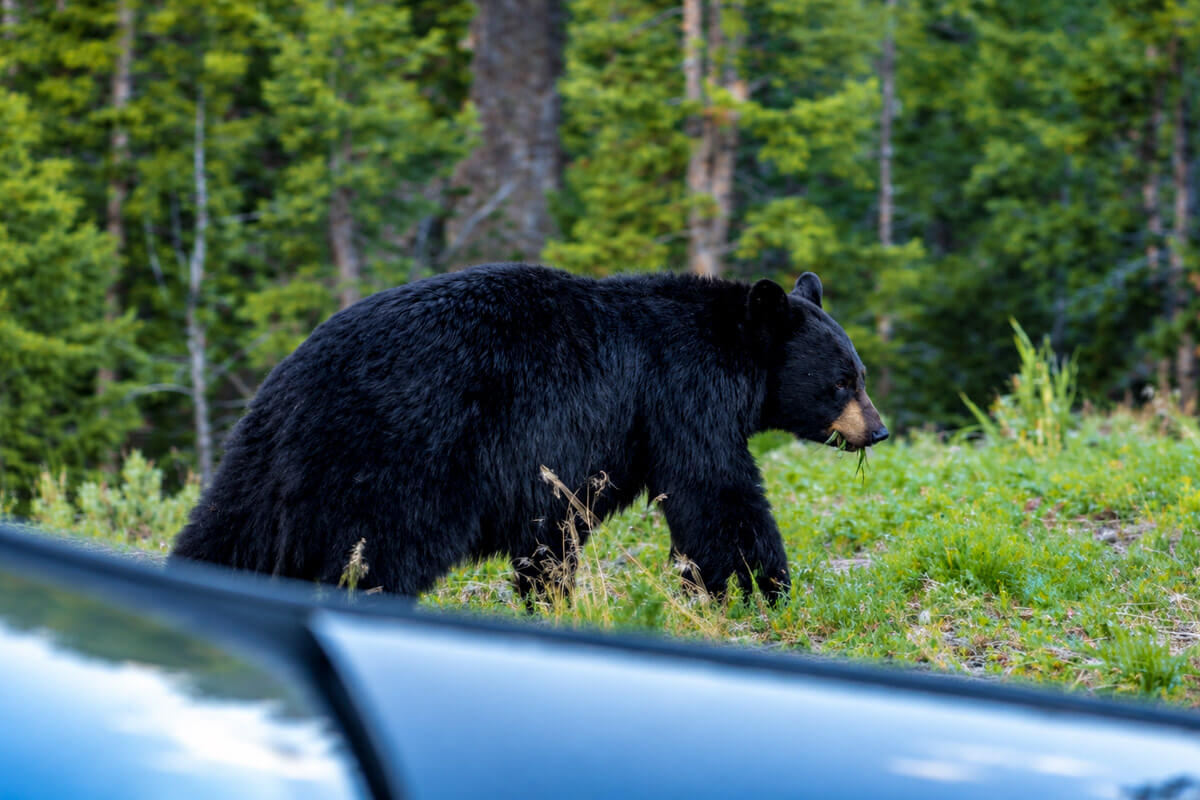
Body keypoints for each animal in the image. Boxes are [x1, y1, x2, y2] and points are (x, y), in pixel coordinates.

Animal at [170, 263, 887, 603]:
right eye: (842, 382)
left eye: (859, 373)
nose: (877, 431)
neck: (728, 348)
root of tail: (292, 387)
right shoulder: (679, 397)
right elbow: (715, 493)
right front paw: (760, 587)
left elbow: (556, 531)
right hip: (401, 455)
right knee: (382, 550)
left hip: (266, 461)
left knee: (229, 529)